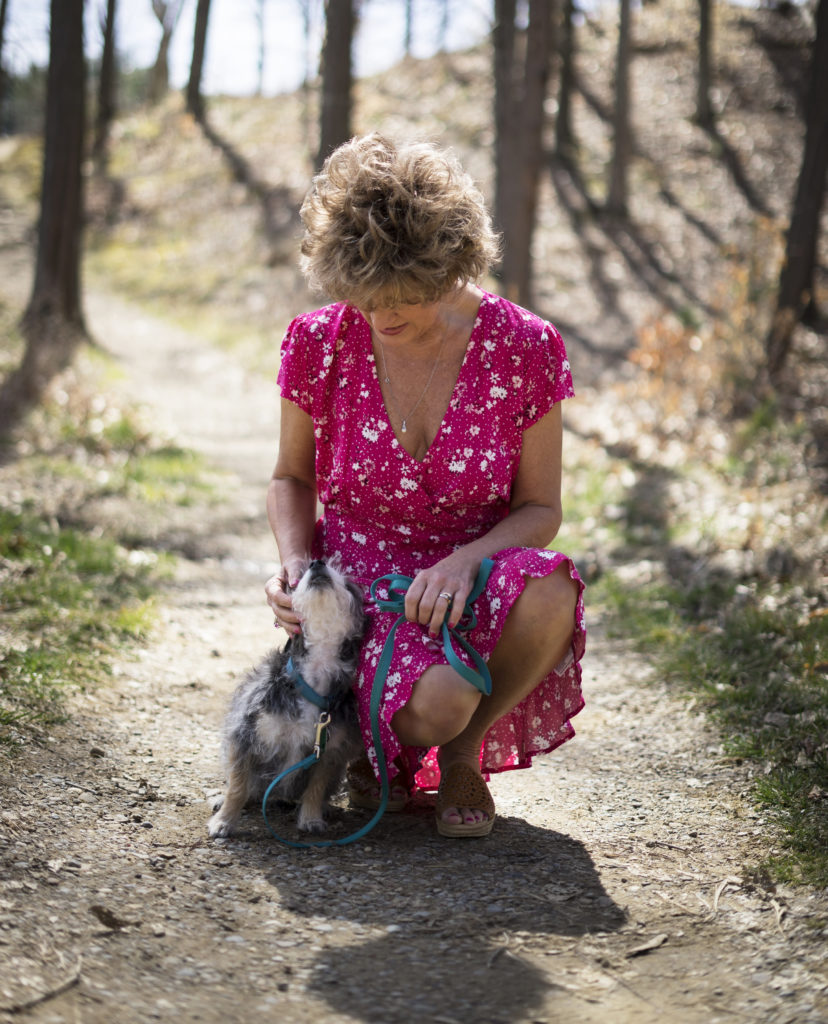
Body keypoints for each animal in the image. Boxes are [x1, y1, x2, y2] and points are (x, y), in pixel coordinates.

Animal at [206, 561, 364, 839]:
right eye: (295, 582)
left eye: (347, 584)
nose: (317, 563)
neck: (311, 680)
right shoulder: (245, 735)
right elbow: (237, 786)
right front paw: (223, 821)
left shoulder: (329, 750)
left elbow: (316, 788)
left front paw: (311, 818)